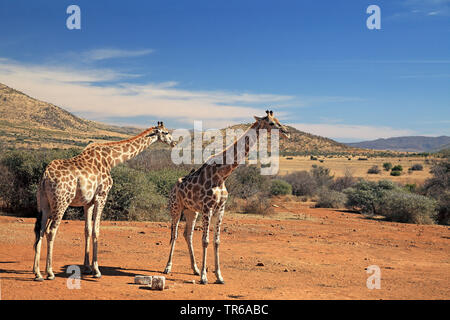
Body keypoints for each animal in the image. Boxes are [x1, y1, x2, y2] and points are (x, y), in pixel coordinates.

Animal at [31, 121, 175, 282]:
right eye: (166, 132)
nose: (174, 143)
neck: (111, 160)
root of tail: (45, 176)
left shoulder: (88, 202)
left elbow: (87, 230)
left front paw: (87, 268)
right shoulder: (102, 196)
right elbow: (96, 230)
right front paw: (96, 270)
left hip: (44, 204)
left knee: (40, 230)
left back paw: (37, 273)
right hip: (61, 201)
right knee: (51, 230)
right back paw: (49, 272)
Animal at [163, 110, 290, 284]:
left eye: (278, 120)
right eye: (271, 123)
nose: (286, 132)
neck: (222, 175)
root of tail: (173, 187)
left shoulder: (220, 208)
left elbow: (216, 241)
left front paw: (219, 276)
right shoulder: (207, 208)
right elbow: (205, 241)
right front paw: (204, 277)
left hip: (191, 210)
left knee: (187, 235)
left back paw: (195, 269)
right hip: (176, 207)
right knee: (174, 234)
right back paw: (168, 268)